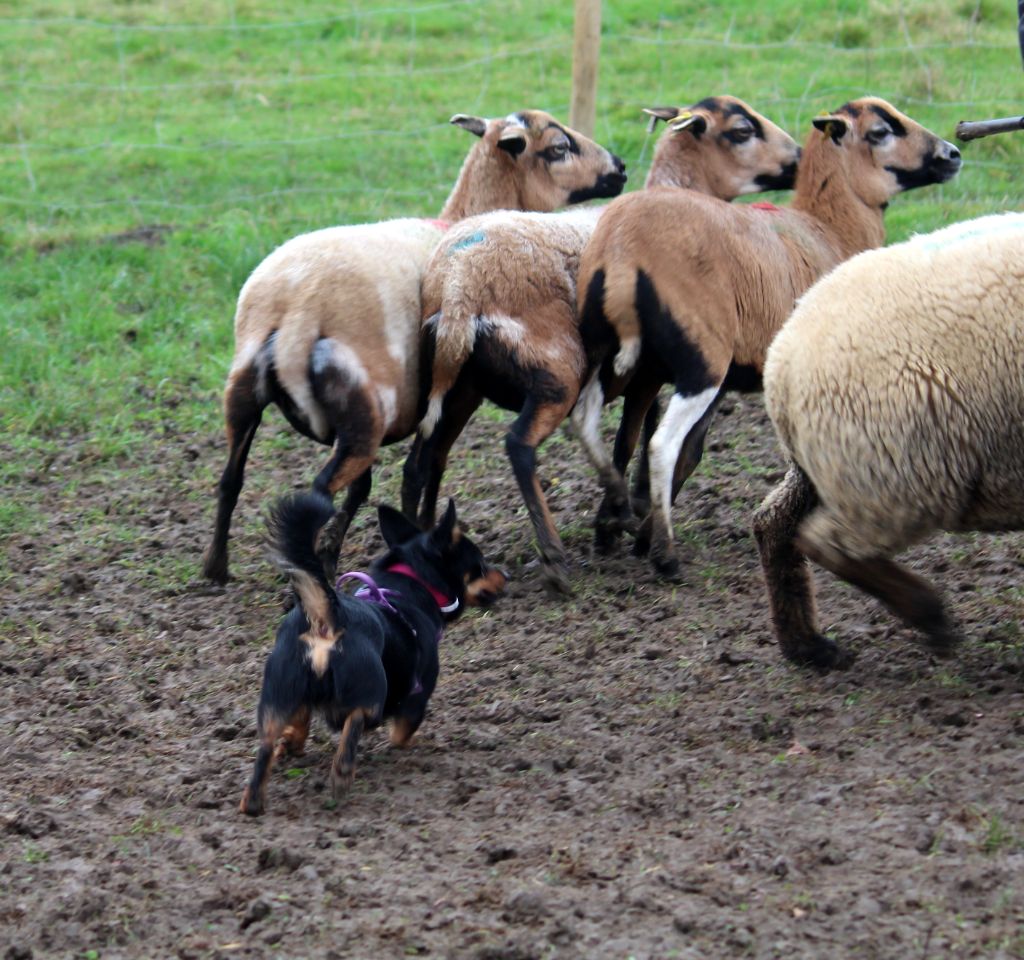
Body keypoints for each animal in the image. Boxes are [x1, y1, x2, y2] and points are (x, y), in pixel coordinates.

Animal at [199, 107, 622, 581]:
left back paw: (217, 568)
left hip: (244, 391)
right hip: (367, 411)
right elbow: (420, 468)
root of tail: (295, 311)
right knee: (321, 490)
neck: (460, 218)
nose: (620, 169)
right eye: (559, 148)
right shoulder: (449, 396)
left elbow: (386, 480)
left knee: (231, 479)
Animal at [239, 489, 503, 810]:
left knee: (265, 744)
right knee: (355, 722)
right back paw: (342, 774)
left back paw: (253, 800)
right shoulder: (417, 696)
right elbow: (403, 732)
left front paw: (292, 742)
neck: (410, 583)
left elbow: (300, 718)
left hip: (276, 693)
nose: (505, 576)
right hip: (370, 690)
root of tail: (328, 619)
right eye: (481, 565)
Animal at [399, 97, 798, 589]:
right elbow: (647, 442)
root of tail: (459, 286)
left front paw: (624, 514)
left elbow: (640, 435)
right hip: (556, 372)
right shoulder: (658, 373)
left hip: (457, 384)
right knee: (518, 446)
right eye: (742, 131)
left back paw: (418, 543)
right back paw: (554, 557)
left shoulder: (650, 376)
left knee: (423, 459)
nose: (799, 158)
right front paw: (626, 521)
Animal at [577, 97, 958, 581]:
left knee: (590, 425)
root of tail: (625, 252)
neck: (829, 228)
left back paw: (610, 526)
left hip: (608, 353)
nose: (952, 154)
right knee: (662, 444)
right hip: (702, 362)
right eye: (880, 132)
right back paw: (665, 554)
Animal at [753, 210, 1024, 667]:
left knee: (773, 524)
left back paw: (808, 646)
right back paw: (930, 616)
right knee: (826, 543)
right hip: (896, 467)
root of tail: (782, 360)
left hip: (835, 463)